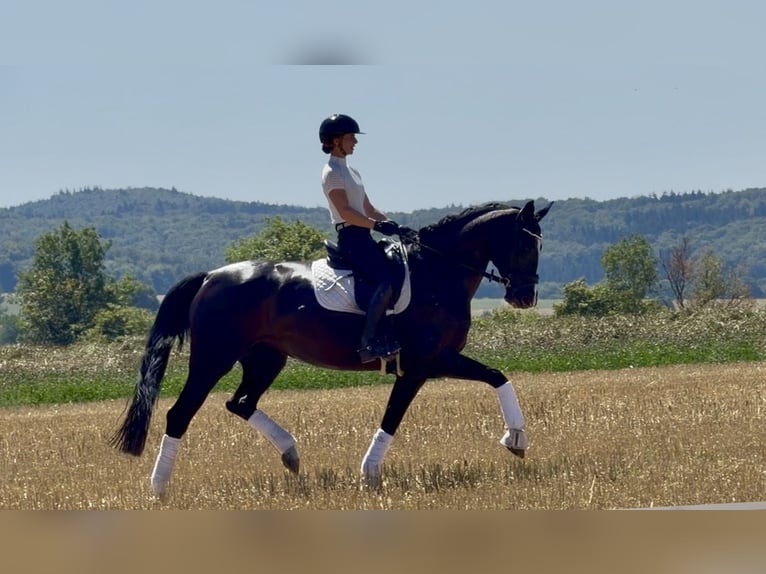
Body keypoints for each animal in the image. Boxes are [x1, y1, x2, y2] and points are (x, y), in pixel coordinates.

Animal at [112, 199, 551, 495]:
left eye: (540, 247)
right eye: (524, 246)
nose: (524, 298)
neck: (438, 271)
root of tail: (209, 277)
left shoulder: (430, 363)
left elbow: (497, 377)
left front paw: (516, 440)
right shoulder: (424, 363)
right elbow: (396, 416)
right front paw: (369, 474)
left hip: (266, 358)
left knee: (240, 403)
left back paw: (291, 454)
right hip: (213, 359)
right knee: (180, 414)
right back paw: (159, 489)